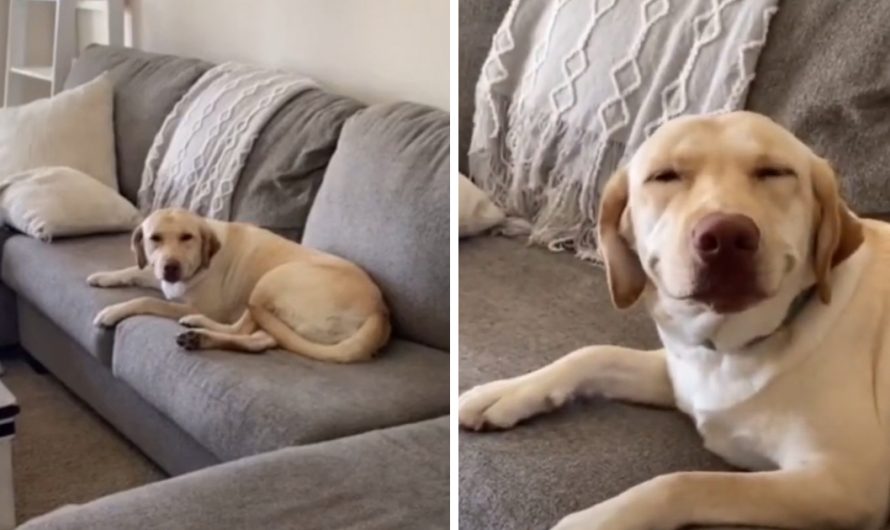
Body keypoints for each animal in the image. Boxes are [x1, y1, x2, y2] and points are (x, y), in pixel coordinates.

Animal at [88, 208, 390, 360]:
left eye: (187, 237)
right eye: (155, 239)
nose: (170, 267)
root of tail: (381, 312)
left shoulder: (202, 305)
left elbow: (147, 299)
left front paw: (112, 311)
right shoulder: (161, 277)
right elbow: (133, 270)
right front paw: (104, 276)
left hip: (271, 279)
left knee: (241, 327)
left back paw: (197, 325)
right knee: (258, 340)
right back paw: (200, 338)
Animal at [458, 109, 890, 524]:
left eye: (775, 172)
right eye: (664, 176)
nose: (726, 236)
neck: (726, 349)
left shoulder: (846, 481)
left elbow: (682, 482)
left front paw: (597, 519)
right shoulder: (679, 372)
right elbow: (595, 353)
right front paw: (506, 392)